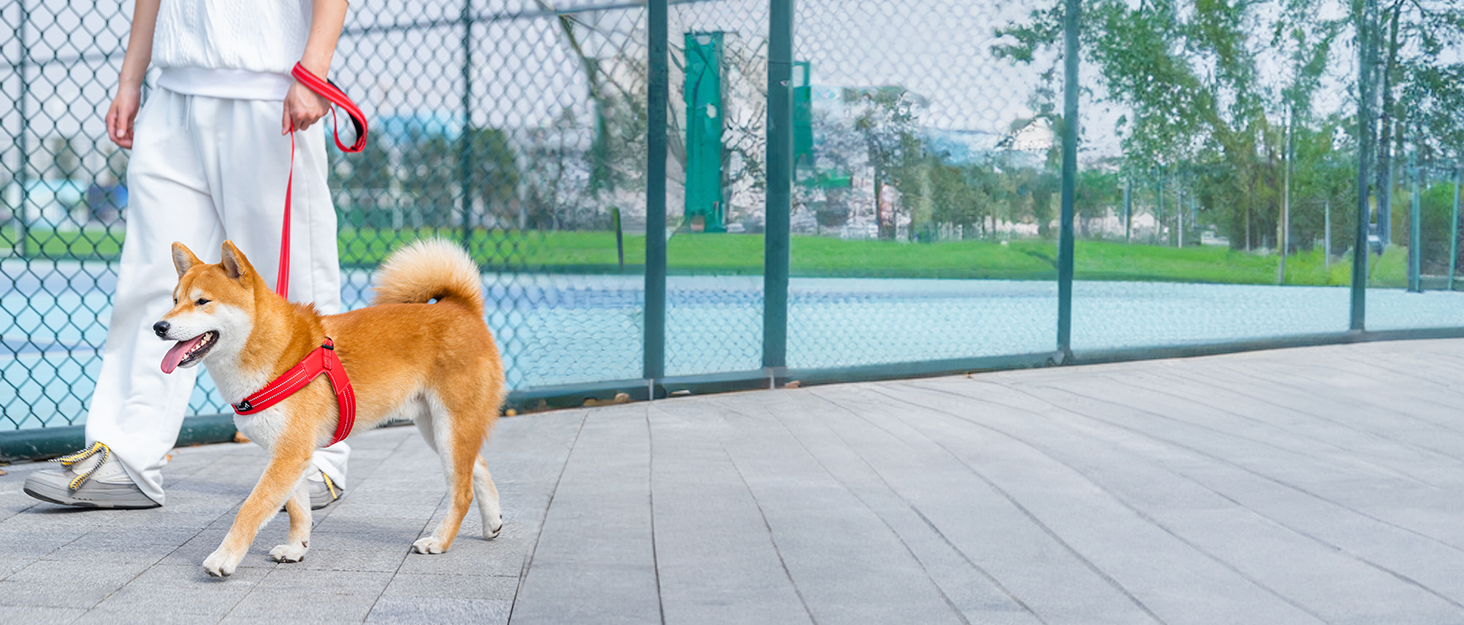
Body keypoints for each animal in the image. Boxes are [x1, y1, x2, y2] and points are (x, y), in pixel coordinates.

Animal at [157, 238, 506, 576]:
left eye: (203, 301)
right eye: (175, 300)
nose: (158, 326)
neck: (274, 352)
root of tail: (462, 307)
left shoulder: (290, 454)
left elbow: (251, 508)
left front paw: (224, 558)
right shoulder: (291, 454)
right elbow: (297, 509)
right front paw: (296, 548)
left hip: (450, 427)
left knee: (462, 491)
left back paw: (439, 541)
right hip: (436, 429)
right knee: (478, 466)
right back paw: (492, 523)